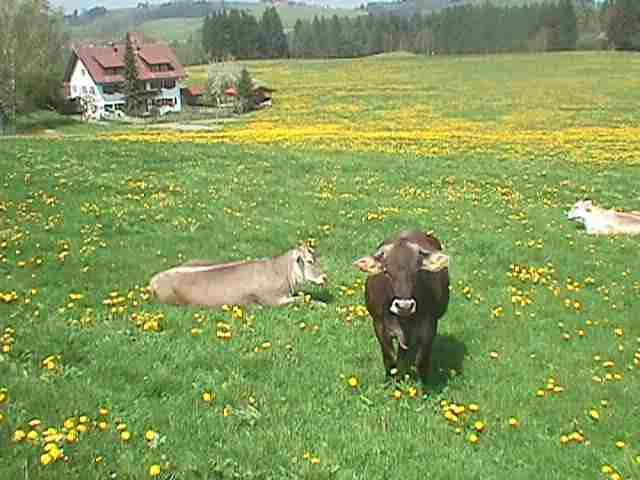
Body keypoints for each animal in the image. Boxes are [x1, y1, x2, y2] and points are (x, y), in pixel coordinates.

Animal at [354, 230, 450, 382]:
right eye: (387, 272)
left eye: (416, 271)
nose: (404, 306)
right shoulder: (379, 325)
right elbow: (389, 358)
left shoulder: (430, 325)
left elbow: (421, 360)